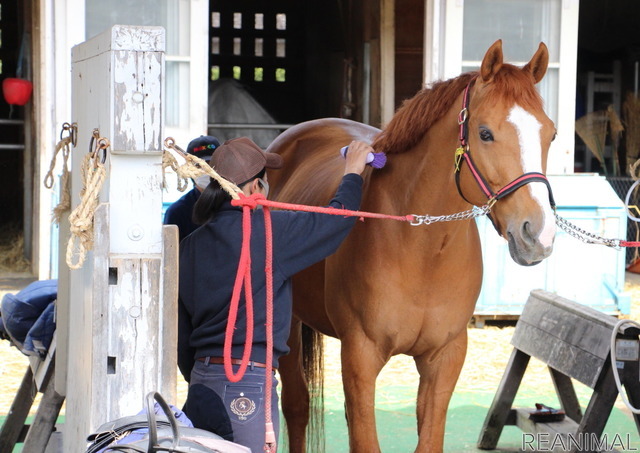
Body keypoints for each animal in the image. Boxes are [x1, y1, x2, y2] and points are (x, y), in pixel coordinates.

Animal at [264, 40, 556, 450]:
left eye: (551, 134)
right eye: (485, 133)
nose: (539, 233)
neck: (422, 249)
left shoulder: (445, 358)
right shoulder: (360, 355)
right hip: (287, 323)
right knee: (296, 406)